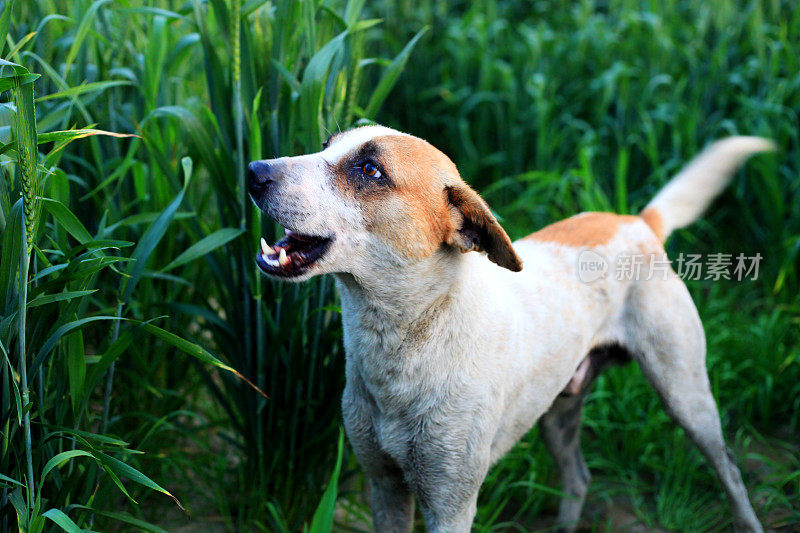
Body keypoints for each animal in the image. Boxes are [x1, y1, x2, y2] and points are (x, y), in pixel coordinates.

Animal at [247, 125, 772, 532]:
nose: (254, 171)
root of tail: (637, 221)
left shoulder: (451, 505)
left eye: (370, 171)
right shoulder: (384, 486)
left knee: (730, 472)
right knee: (578, 477)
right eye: (325, 145)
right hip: (559, 411)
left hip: (686, 395)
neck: (409, 340)